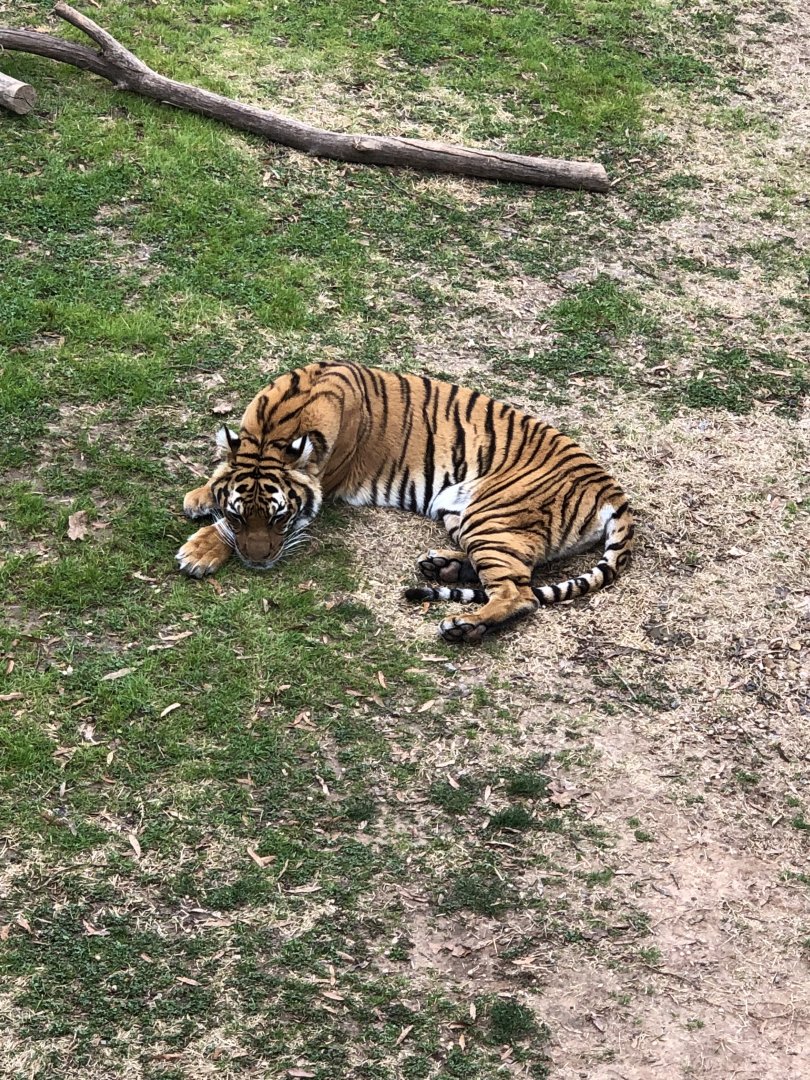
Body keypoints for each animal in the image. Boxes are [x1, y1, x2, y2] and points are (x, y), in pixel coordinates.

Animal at [176, 361, 634, 643]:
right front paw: (200, 496)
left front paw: (199, 551)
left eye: (279, 519)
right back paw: (441, 565)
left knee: (518, 594)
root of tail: (611, 488)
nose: (257, 564)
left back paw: (463, 626)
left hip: (491, 515)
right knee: (518, 571)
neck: (273, 432)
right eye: (241, 517)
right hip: (461, 511)